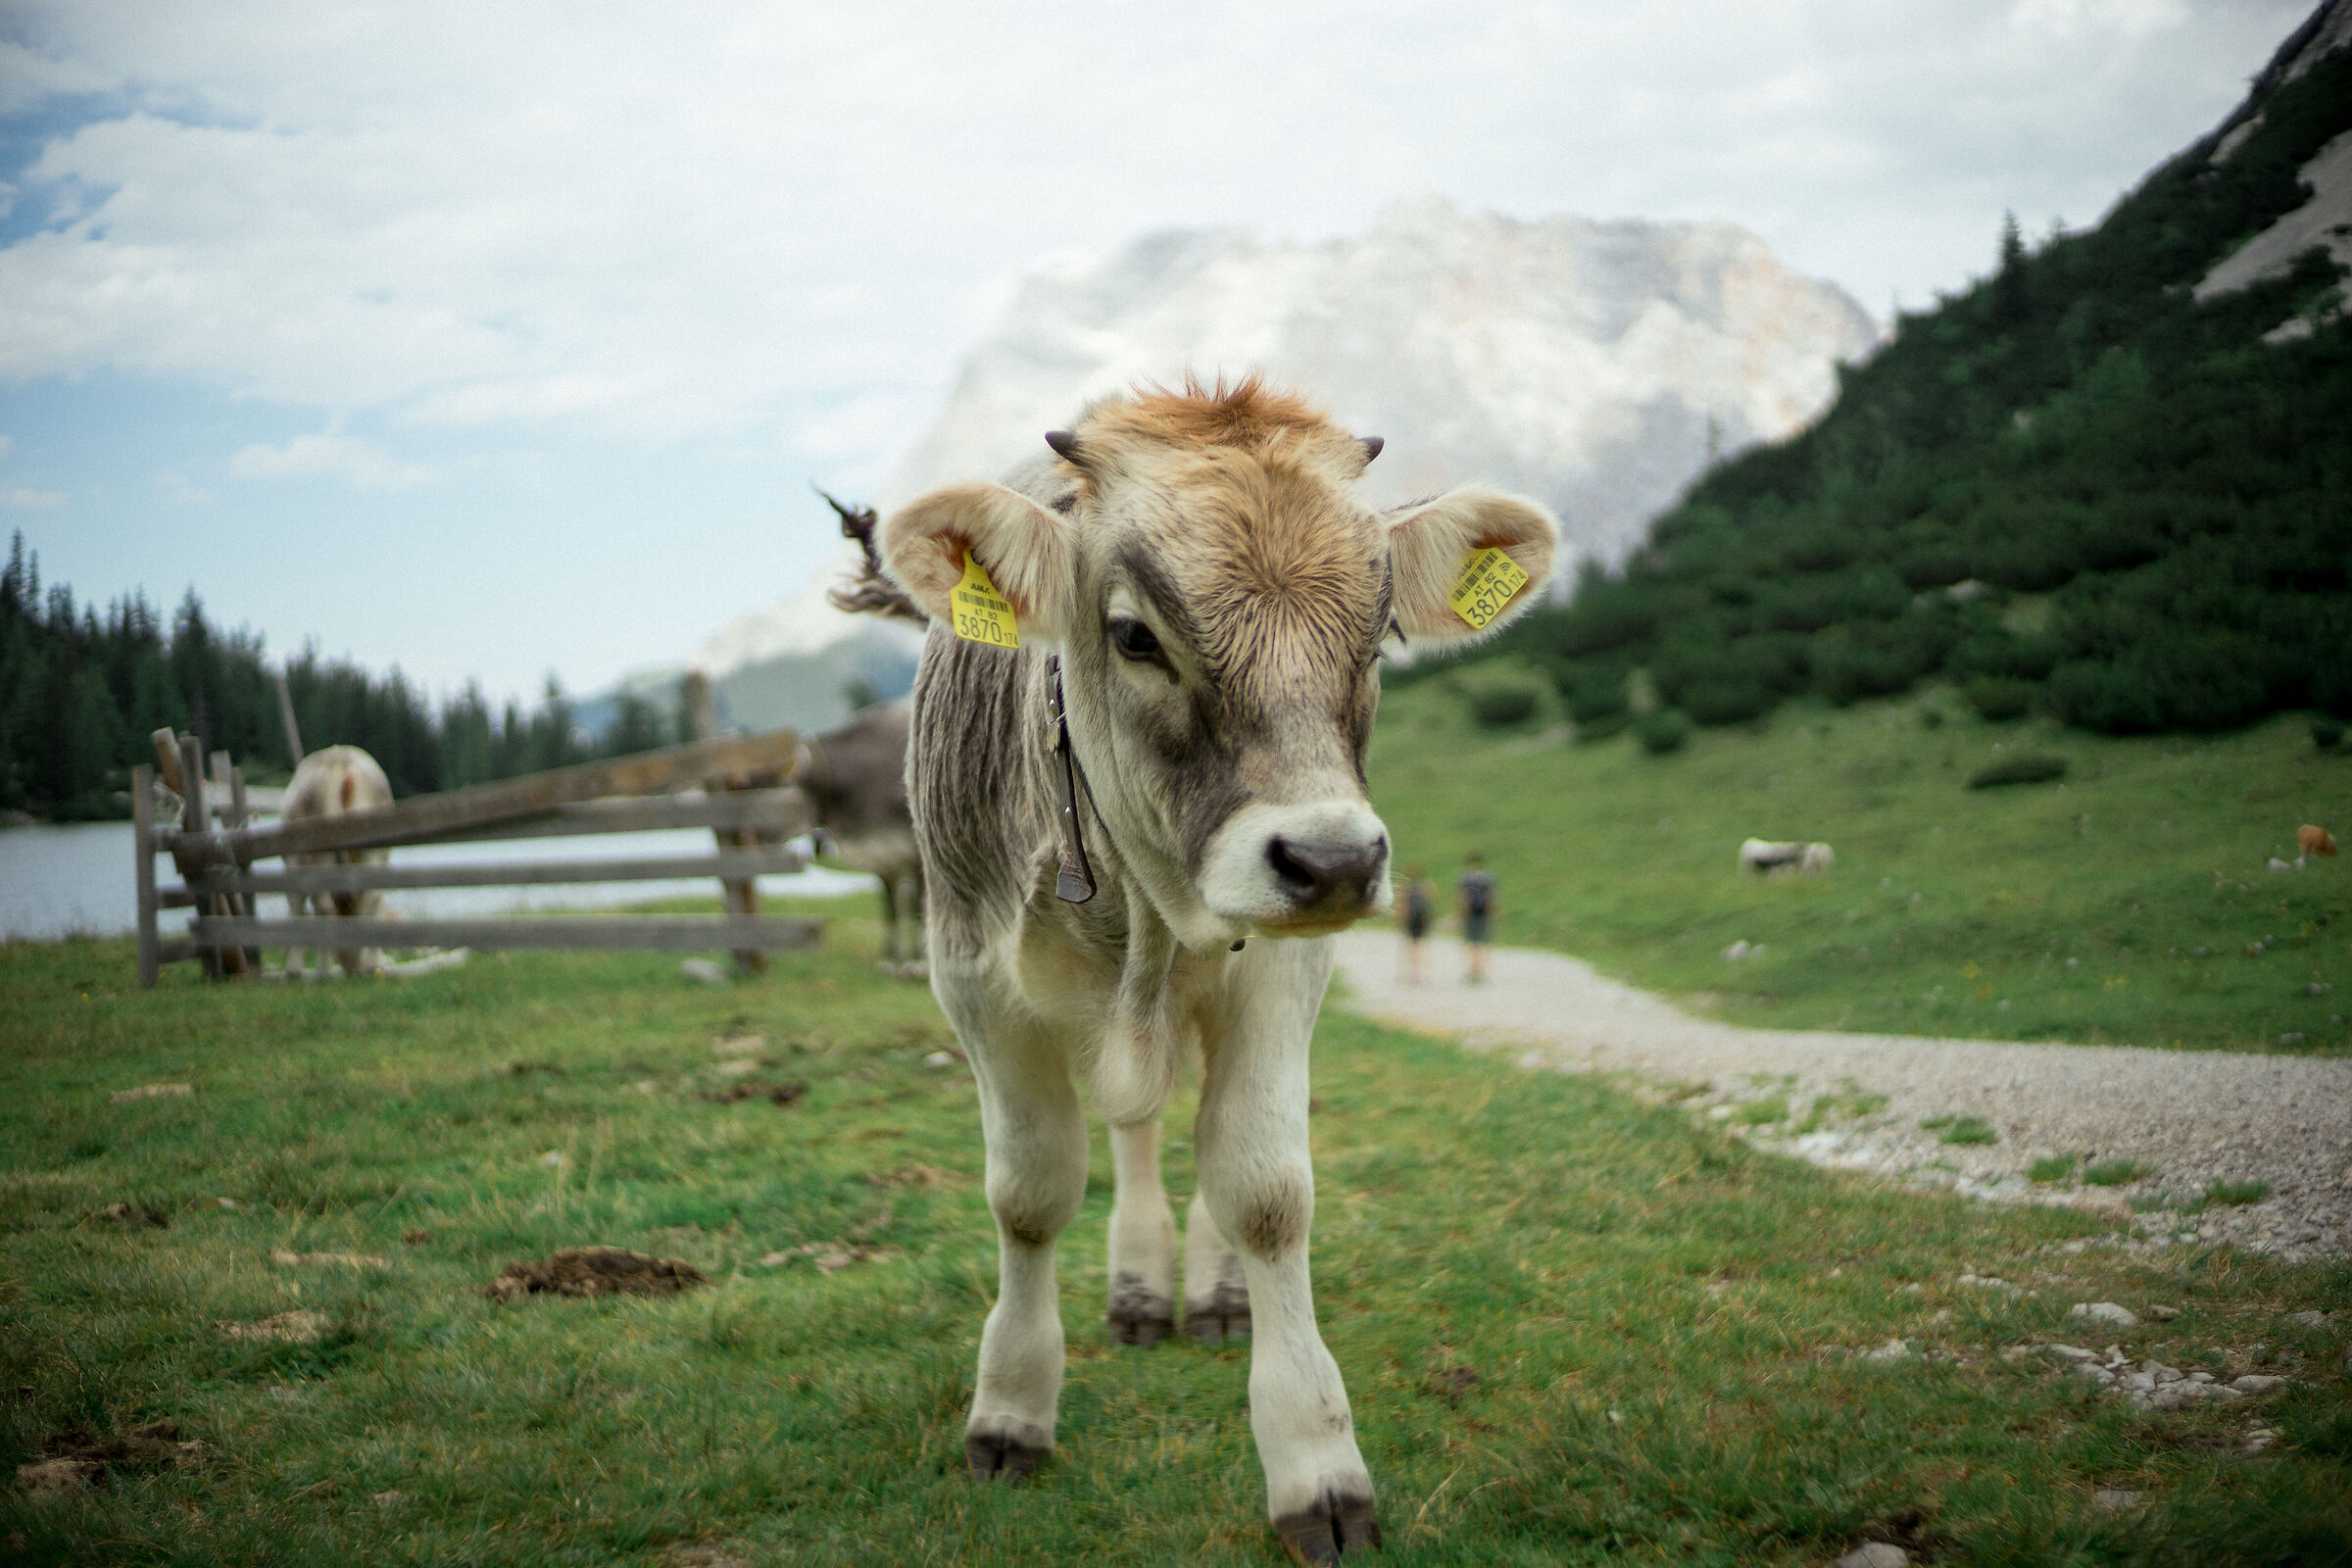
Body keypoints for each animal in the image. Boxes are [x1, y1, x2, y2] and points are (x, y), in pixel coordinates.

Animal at [279, 744, 394, 977]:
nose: (352, 968)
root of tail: (339, 759)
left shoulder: (294, 865)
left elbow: (297, 907)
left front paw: (294, 968)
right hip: (376, 850)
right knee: (372, 898)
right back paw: (370, 965)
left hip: (316, 854)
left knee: (323, 907)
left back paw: (322, 971)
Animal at [794, 701, 926, 973]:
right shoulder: (884, 860)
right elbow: (891, 910)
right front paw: (893, 961)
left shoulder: (918, 855)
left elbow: (919, 909)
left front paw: (918, 964)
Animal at [866, 377, 1556, 1561]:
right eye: (1134, 636)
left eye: (1377, 640)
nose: (1332, 859)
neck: (1144, 913)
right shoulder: (971, 976)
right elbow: (1029, 1194)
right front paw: (1010, 1411)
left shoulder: (1281, 975)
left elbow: (1265, 1191)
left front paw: (1317, 1467)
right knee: (1137, 1130)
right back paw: (1142, 1289)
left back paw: (1216, 1293)